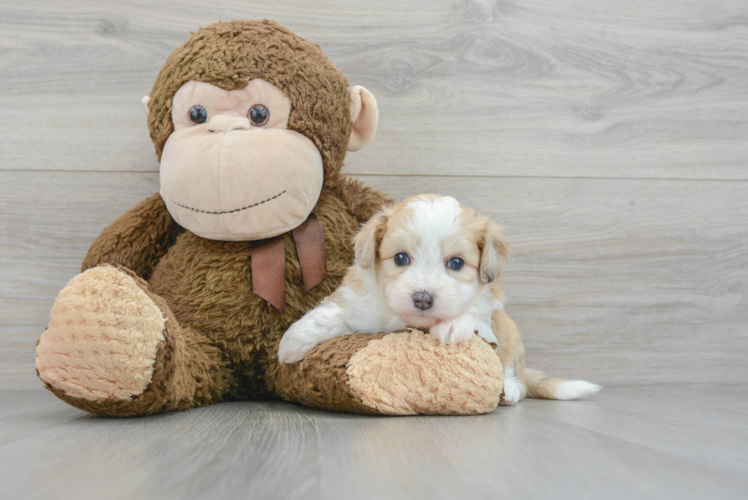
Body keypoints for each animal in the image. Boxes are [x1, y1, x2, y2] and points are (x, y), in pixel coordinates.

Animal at [278, 193, 600, 404]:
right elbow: (334, 312)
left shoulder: (489, 309)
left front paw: (452, 326)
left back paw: (509, 390)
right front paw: (293, 341)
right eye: (401, 258)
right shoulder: (360, 300)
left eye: (456, 263)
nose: (423, 298)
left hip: (511, 335)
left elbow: (475, 310)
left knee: (513, 373)